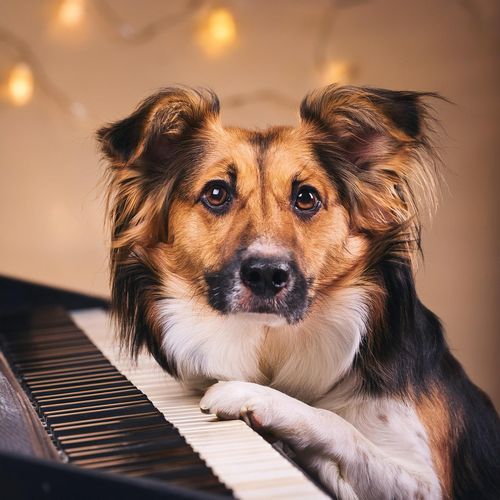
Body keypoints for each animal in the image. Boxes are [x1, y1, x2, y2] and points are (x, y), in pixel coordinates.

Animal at [97, 87, 500, 500]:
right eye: (216, 193)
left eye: (306, 197)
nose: (265, 274)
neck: (272, 339)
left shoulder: (427, 484)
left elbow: (338, 424)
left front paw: (250, 396)